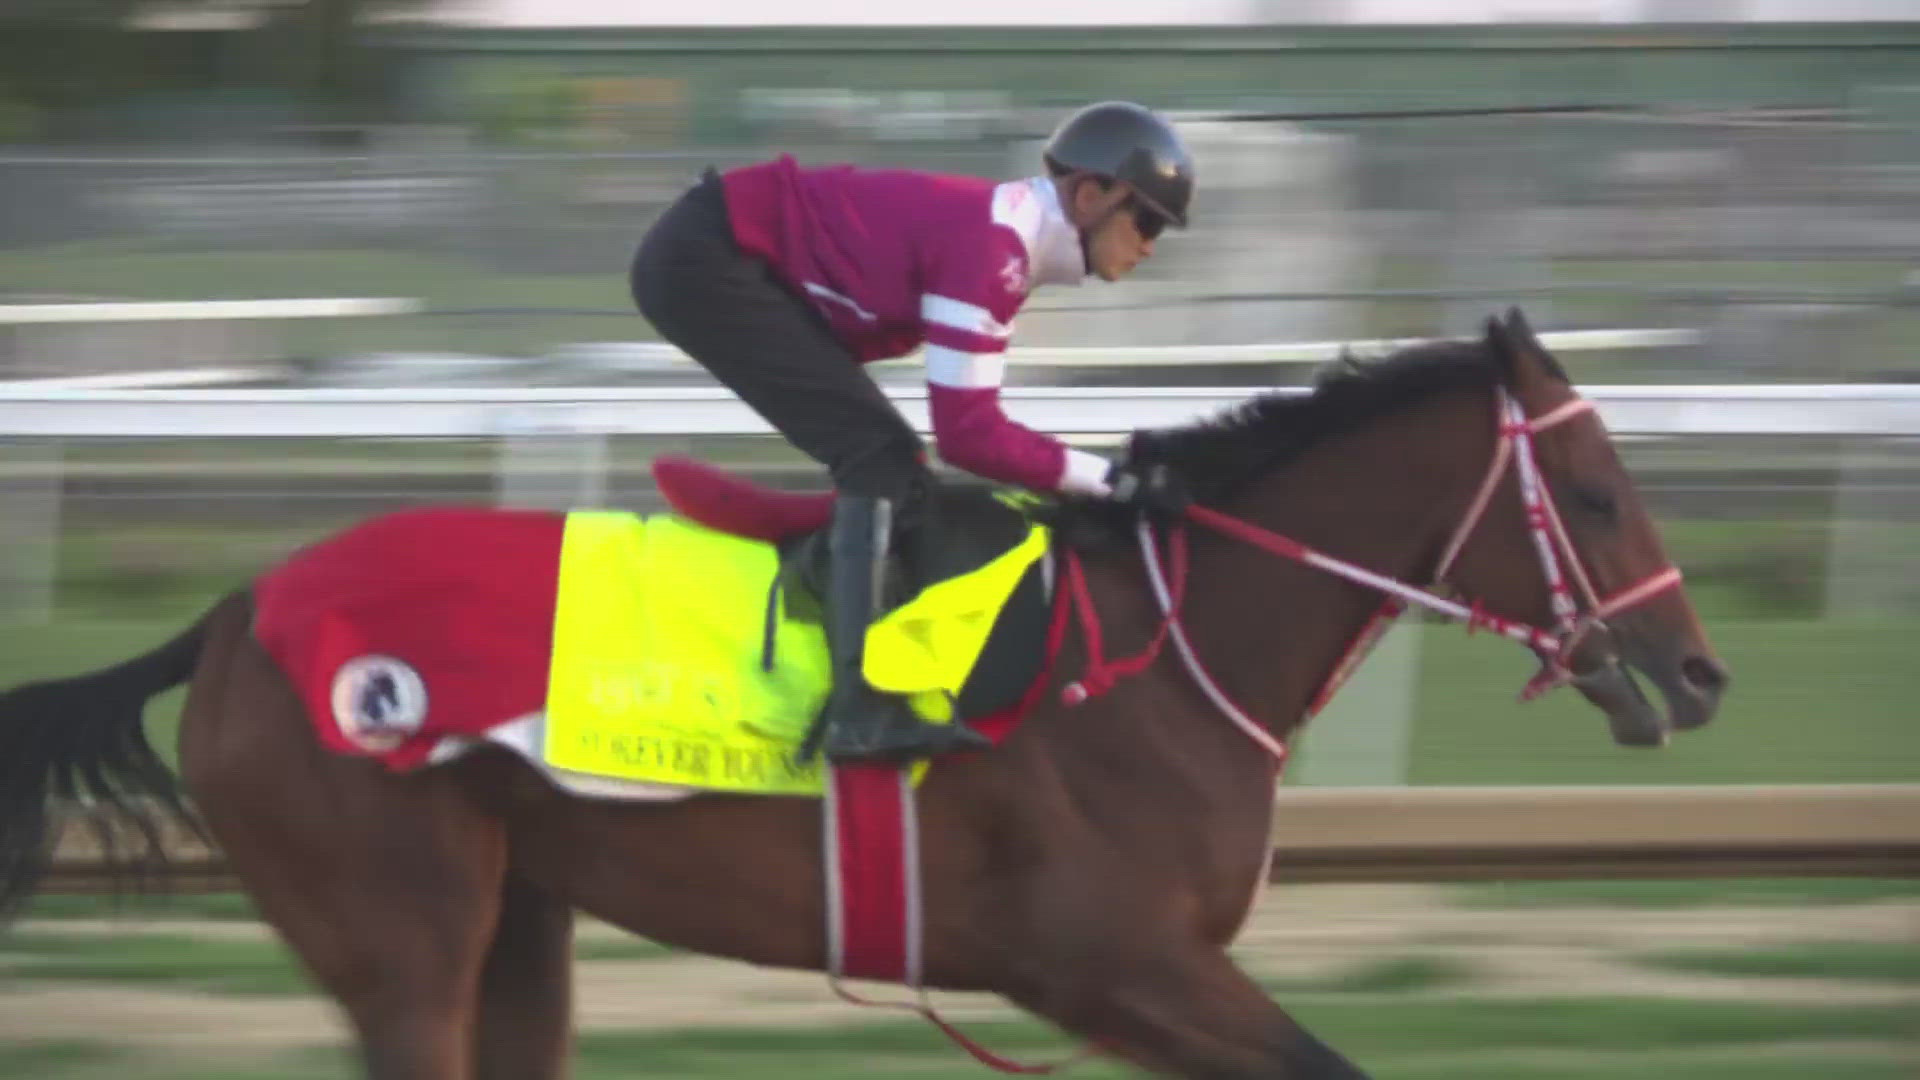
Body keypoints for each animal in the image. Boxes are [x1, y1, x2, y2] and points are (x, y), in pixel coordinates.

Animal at [0, 307, 1728, 1068]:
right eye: (1593, 492)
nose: (1697, 671)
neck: (1166, 657)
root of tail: (237, 613)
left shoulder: (1128, 988)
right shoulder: (1113, 963)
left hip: (519, 919)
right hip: (401, 938)